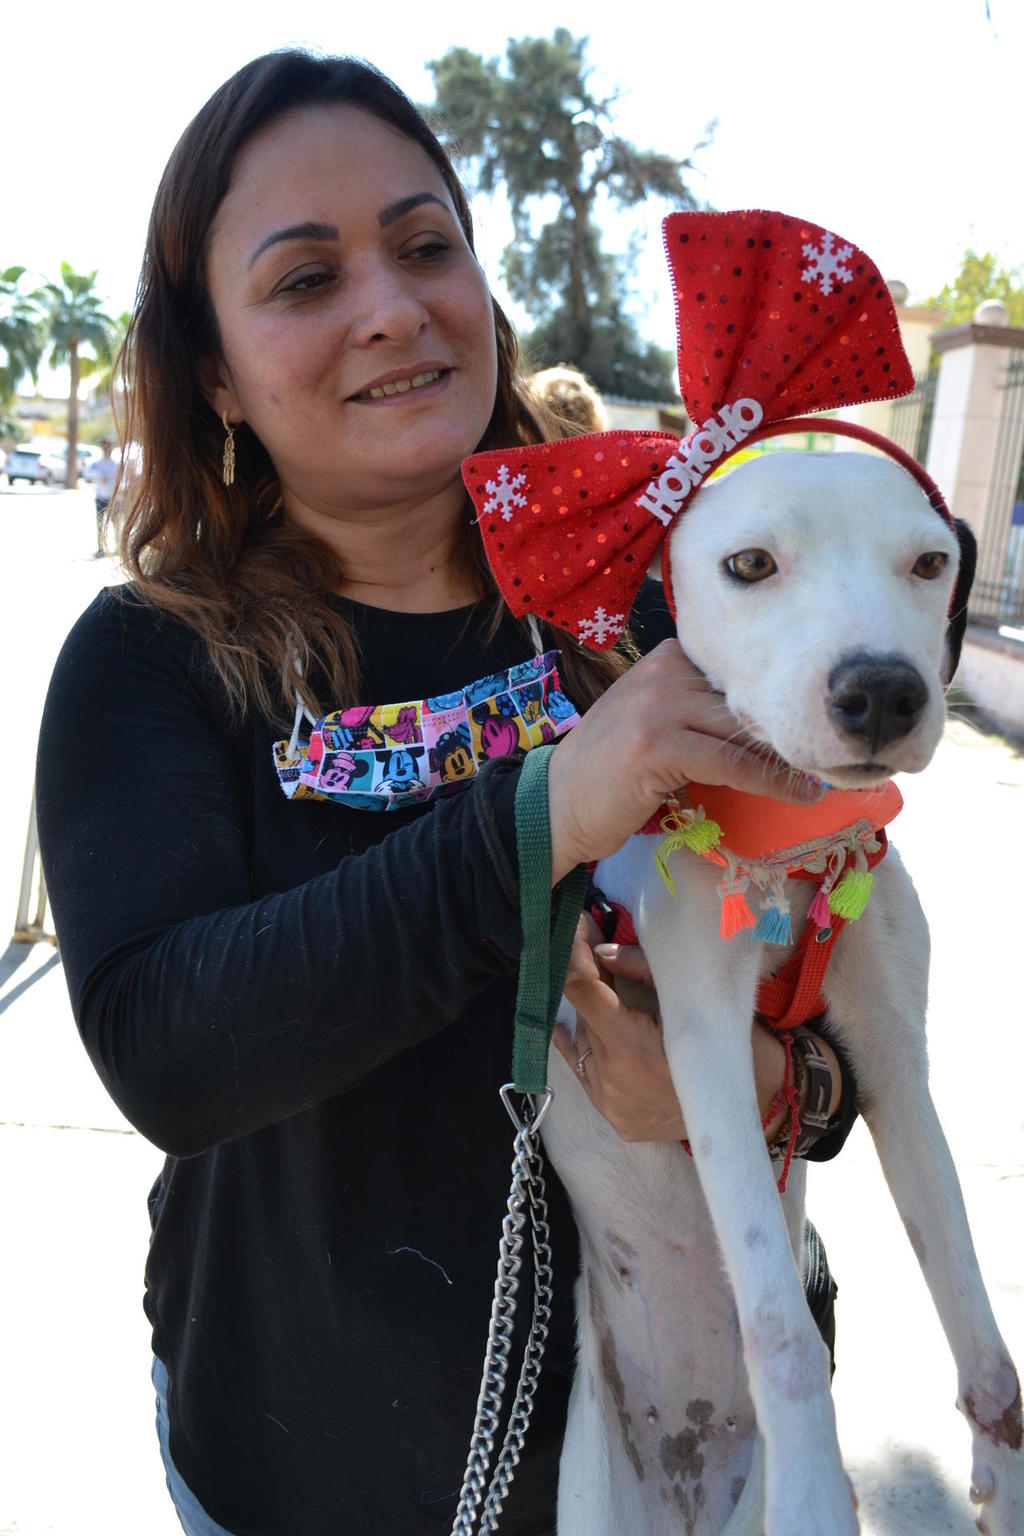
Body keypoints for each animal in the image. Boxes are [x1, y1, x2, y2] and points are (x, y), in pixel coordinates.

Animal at [540, 449, 1024, 1535]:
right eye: (750, 564)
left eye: (929, 562)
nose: (883, 692)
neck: (801, 849)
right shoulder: (701, 1037)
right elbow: (781, 1328)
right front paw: (810, 1485)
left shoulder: (893, 1062)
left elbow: (971, 1299)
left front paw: (1006, 1468)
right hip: (587, 1497)